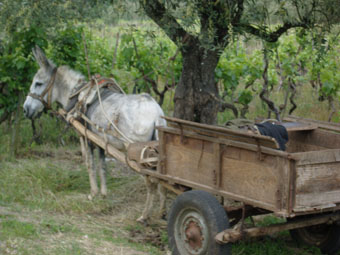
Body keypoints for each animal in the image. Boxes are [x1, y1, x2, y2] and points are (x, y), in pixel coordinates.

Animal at [23, 45, 167, 221]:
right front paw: (103, 194)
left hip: (139, 154)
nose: (25, 110)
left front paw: (93, 194)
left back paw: (145, 216)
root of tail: (157, 114)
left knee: (151, 182)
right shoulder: (100, 142)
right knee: (161, 181)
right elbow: (102, 166)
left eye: (38, 83)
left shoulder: (87, 138)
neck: (78, 95)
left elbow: (90, 165)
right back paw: (161, 212)